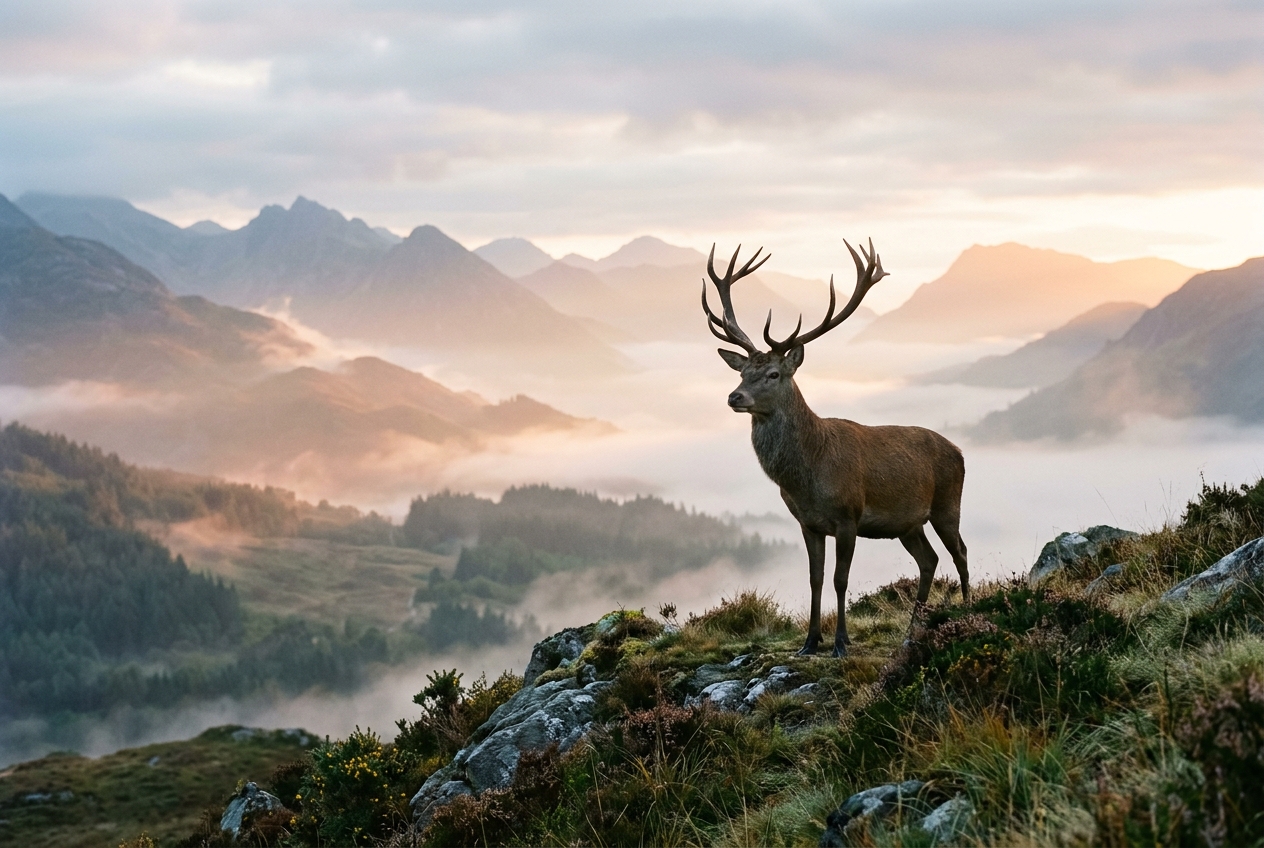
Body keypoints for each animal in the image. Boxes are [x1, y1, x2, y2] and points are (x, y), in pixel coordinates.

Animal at [702, 240, 969, 657]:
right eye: (742, 372)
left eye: (773, 373)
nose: (734, 396)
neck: (808, 477)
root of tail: (960, 452)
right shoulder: (808, 522)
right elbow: (815, 579)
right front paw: (810, 642)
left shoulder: (848, 516)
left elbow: (840, 579)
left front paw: (841, 642)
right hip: (908, 523)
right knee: (929, 560)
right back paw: (912, 631)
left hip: (947, 503)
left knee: (960, 553)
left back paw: (970, 613)